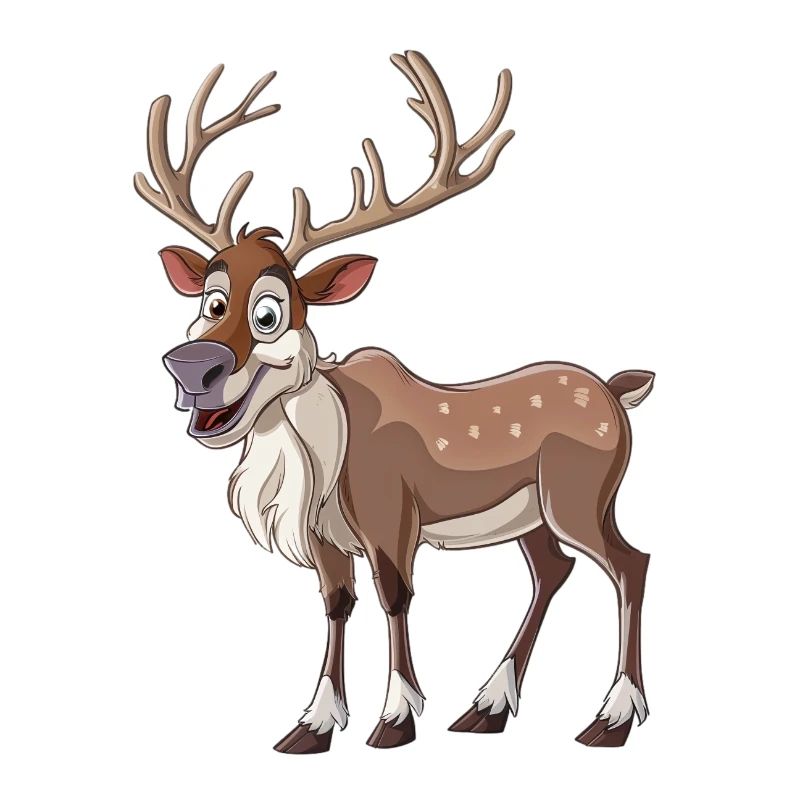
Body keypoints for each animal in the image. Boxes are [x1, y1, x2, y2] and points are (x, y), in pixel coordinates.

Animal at [135, 51, 654, 754]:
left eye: (269, 312)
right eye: (211, 301)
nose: (190, 367)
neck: (325, 458)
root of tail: (620, 392)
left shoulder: (392, 514)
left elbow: (395, 597)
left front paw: (395, 720)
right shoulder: (325, 536)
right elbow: (336, 603)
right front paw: (312, 725)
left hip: (581, 495)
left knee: (630, 564)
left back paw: (611, 719)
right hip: (534, 516)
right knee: (553, 571)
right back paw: (487, 707)